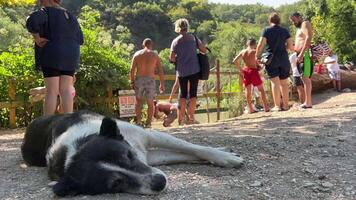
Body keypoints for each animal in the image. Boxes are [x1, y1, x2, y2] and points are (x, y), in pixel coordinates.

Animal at [20, 111, 243, 197]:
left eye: (128, 156)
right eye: (116, 184)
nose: (160, 182)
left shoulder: (148, 137)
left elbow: (192, 148)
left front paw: (225, 157)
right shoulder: (151, 159)